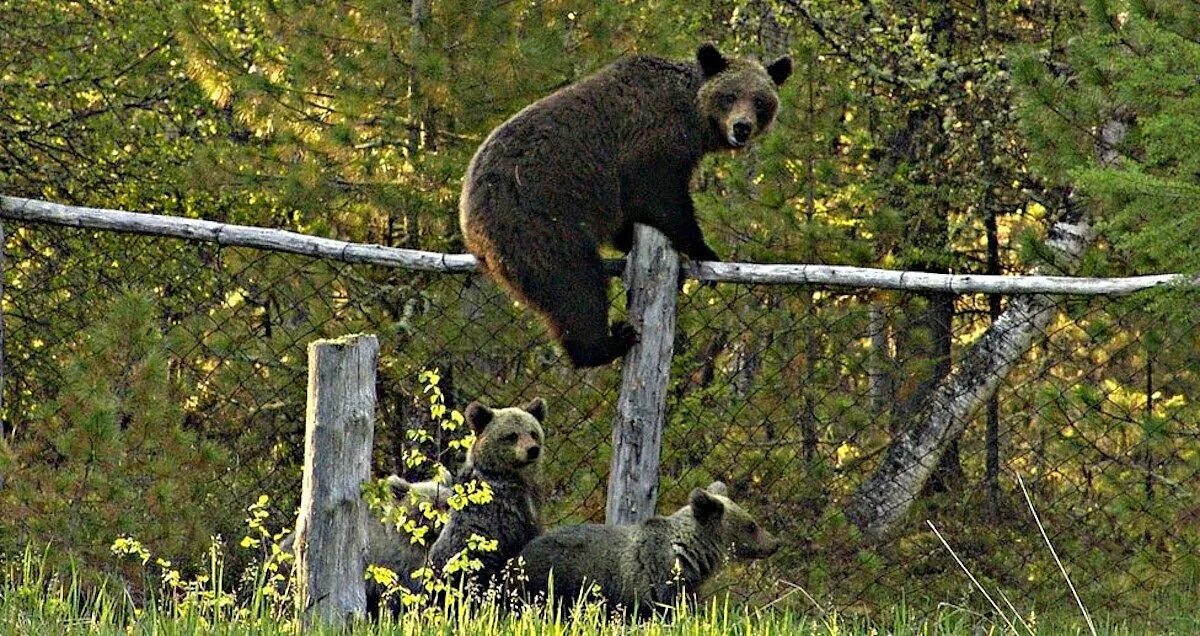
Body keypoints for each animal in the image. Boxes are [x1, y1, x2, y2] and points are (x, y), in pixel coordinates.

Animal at [456, 43, 787, 367]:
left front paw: (633, 241)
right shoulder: (651, 140)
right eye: (730, 96)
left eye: (760, 101)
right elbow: (658, 196)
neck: (692, 118)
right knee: (576, 285)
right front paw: (702, 249)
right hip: (539, 223)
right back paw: (609, 342)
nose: (742, 127)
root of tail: (471, 228)